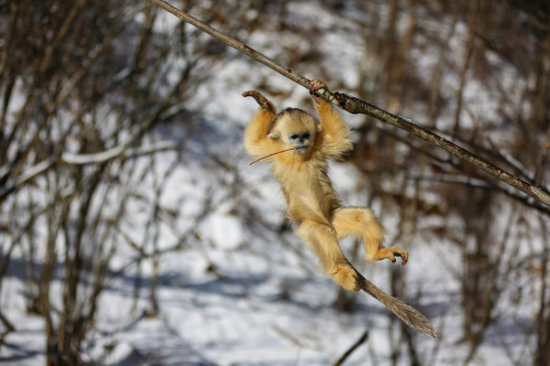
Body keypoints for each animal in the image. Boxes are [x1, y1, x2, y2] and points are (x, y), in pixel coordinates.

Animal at [245, 80, 410, 292]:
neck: (298, 158)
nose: (302, 142)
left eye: (306, 135)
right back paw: (341, 273)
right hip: (310, 226)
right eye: (294, 137)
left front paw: (318, 95)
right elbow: (253, 144)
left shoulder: (320, 145)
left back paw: (376, 253)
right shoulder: (272, 150)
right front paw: (264, 105)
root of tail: (331, 226)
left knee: (362, 216)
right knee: (319, 234)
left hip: (335, 218)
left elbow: (338, 138)